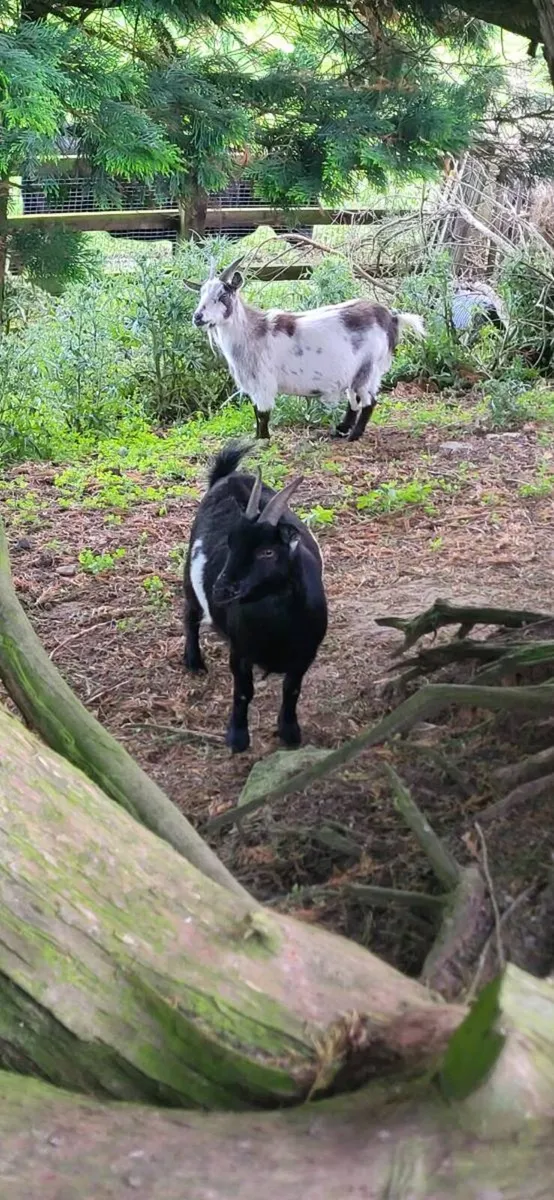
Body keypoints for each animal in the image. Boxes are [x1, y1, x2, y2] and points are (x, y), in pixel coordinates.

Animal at [183, 440, 328, 753]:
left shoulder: (305, 654)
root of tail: (228, 476)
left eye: (267, 552)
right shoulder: (240, 651)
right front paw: (237, 738)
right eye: (230, 543)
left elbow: (292, 689)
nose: (221, 590)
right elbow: (243, 692)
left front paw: (289, 732)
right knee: (189, 614)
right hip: (189, 575)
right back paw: (194, 662)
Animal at [188, 258, 425, 443]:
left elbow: (262, 414)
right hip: (355, 371)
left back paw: (354, 435)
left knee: (369, 400)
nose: (198, 317)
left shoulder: (263, 383)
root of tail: (391, 317)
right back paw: (341, 430)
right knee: (354, 400)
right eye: (200, 294)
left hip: (369, 367)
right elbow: (256, 413)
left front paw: (262, 441)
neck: (251, 332)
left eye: (223, 295)